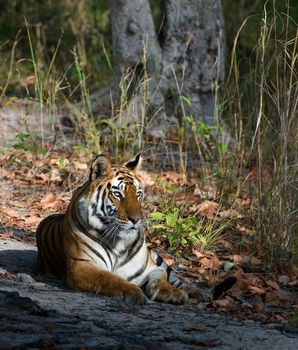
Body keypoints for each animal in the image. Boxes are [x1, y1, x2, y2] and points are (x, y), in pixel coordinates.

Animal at [36, 153, 235, 304]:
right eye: (117, 194)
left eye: (138, 194)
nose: (136, 219)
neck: (118, 243)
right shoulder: (81, 266)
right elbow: (110, 278)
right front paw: (133, 292)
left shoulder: (152, 268)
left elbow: (161, 280)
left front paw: (173, 293)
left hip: (158, 257)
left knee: (181, 278)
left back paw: (201, 293)